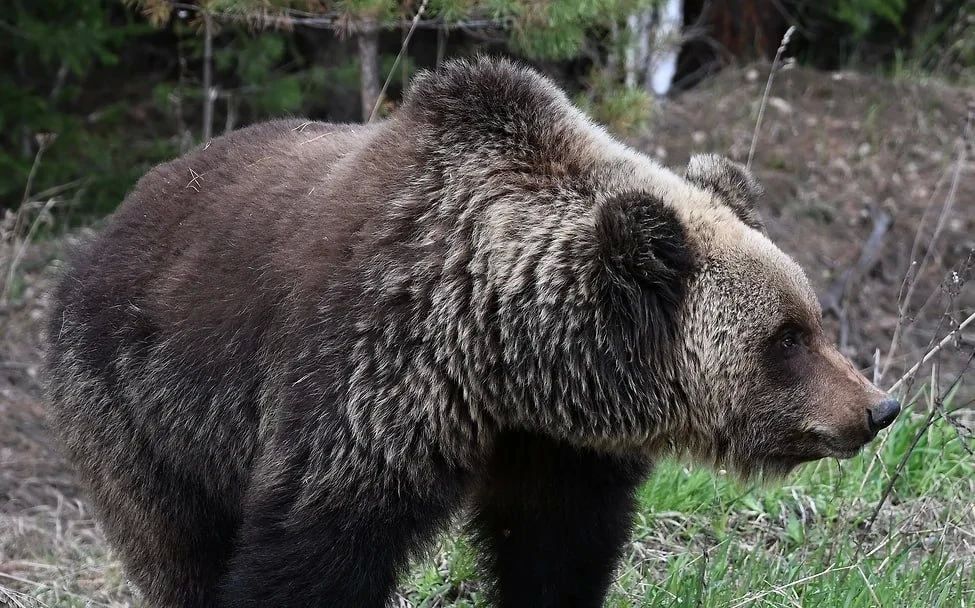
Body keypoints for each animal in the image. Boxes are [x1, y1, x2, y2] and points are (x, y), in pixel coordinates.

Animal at [45, 57, 900, 608]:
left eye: (812, 320)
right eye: (785, 337)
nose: (877, 408)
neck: (497, 355)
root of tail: (108, 225)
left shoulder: (556, 447)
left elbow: (554, 549)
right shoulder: (368, 387)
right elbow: (310, 551)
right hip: (142, 411)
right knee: (177, 549)